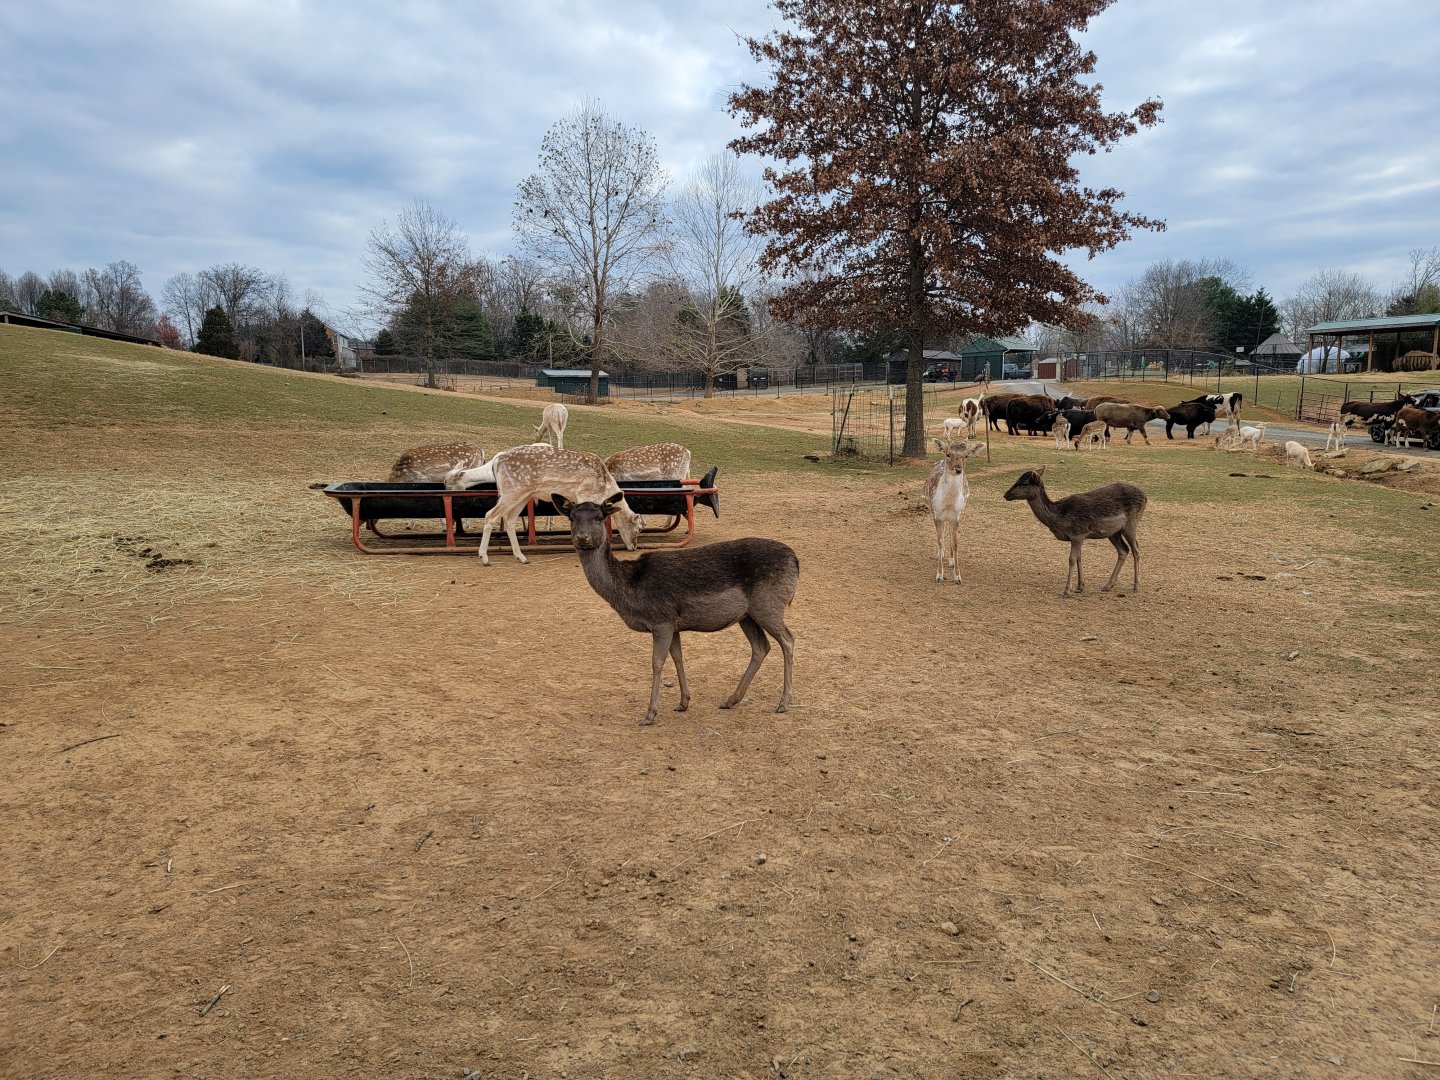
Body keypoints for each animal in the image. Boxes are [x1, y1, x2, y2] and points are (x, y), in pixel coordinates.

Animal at [552, 493, 798, 726]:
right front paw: (683, 702)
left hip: (769, 606)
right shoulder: (674, 624)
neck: (629, 590)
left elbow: (657, 662)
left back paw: (784, 702)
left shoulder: (661, 620)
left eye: (598, 517)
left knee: (788, 639)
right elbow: (678, 657)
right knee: (761, 647)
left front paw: (649, 714)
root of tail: (796, 561)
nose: (581, 537)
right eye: (571, 517)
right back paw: (731, 700)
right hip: (746, 616)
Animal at [1003, 465, 1148, 598]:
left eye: (1024, 483)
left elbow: (1072, 559)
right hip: (1113, 532)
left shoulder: (1077, 534)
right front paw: (1079, 587)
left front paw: (1067, 591)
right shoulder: (1079, 537)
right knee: (1123, 550)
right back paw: (1108, 585)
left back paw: (1136, 586)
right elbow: (1079, 557)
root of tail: (1145, 496)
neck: (1059, 518)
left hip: (1131, 523)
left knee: (1136, 550)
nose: (1006, 494)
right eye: (1017, 479)